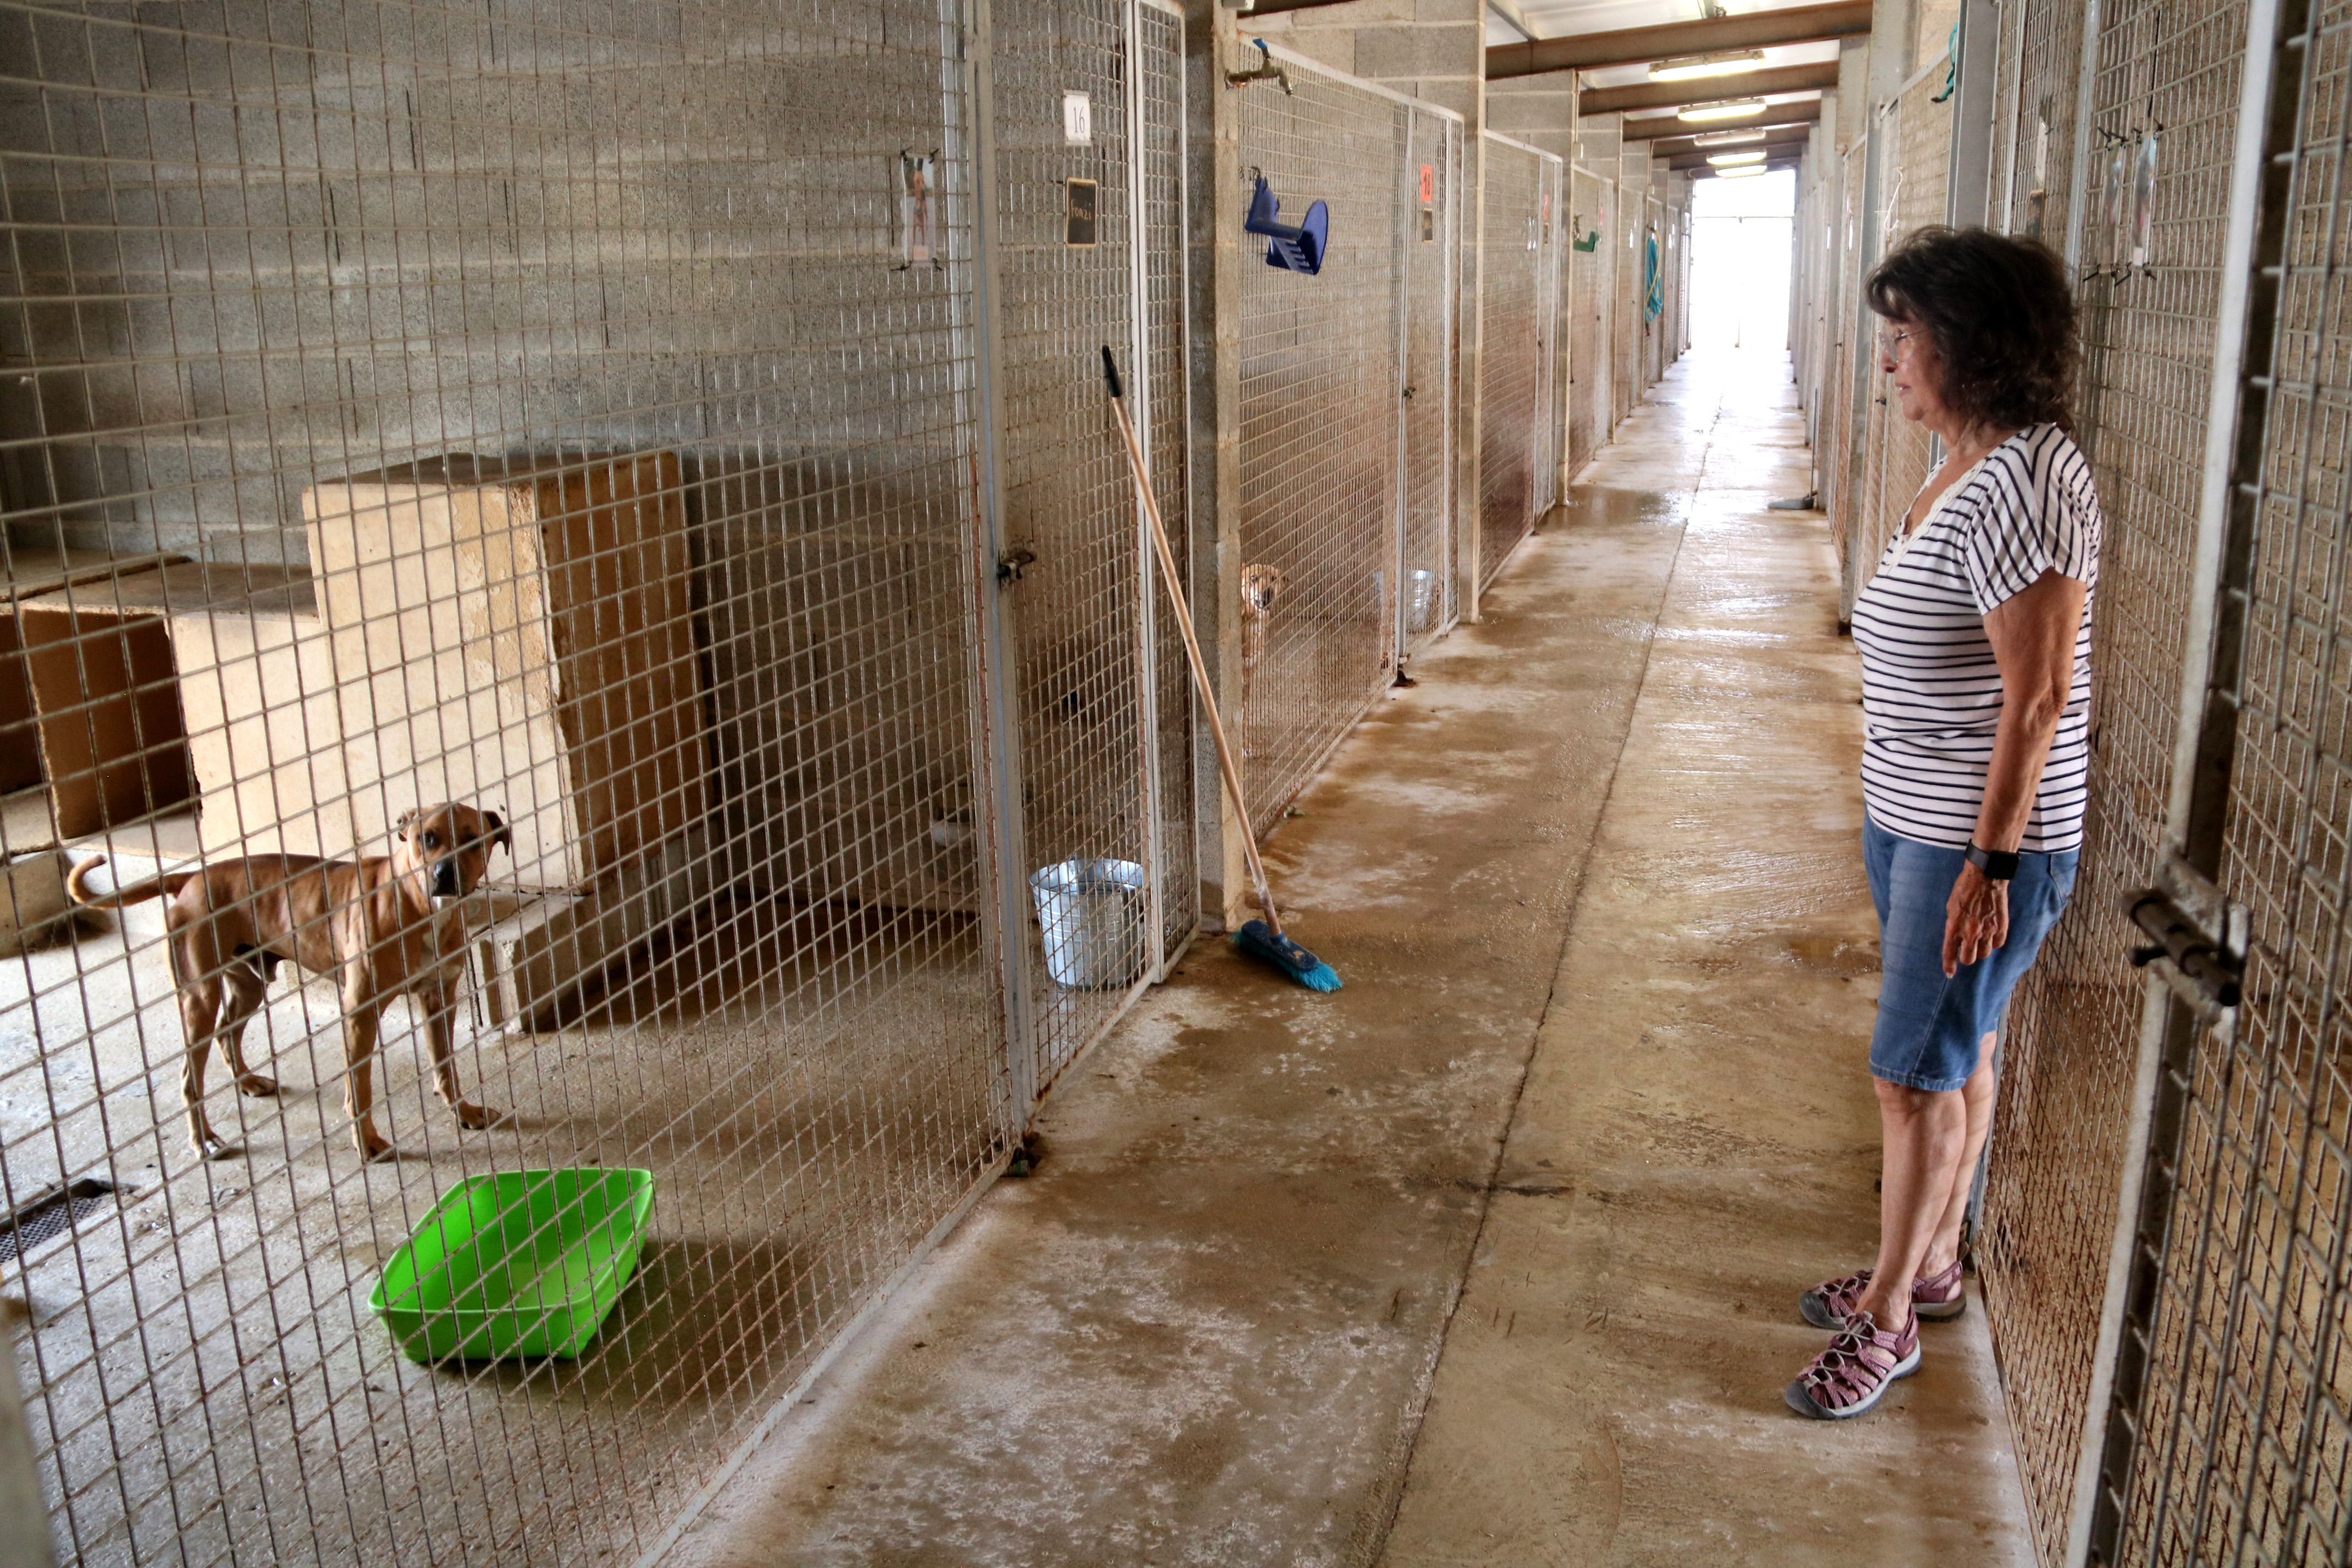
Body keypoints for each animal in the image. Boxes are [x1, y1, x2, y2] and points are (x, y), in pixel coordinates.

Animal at [70, 808, 515, 1166]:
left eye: (473, 839)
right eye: (428, 838)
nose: (445, 874)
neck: (420, 905)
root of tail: (192, 876)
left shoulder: (439, 999)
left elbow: (445, 1068)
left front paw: (464, 1112)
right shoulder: (359, 1013)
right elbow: (360, 1089)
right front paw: (367, 1143)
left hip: (247, 987)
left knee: (226, 1033)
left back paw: (248, 1082)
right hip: (199, 997)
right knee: (188, 1077)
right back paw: (205, 1140)